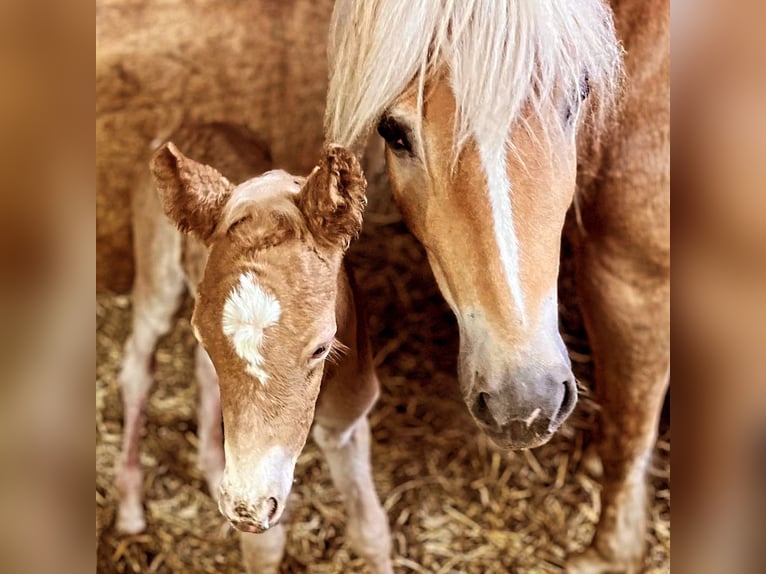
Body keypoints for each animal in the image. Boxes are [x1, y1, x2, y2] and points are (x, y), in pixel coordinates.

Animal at [328, 2, 668, 572]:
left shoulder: (634, 280)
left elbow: (630, 424)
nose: (524, 402)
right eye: (393, 131)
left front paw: (608, 552)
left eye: (578, 95)